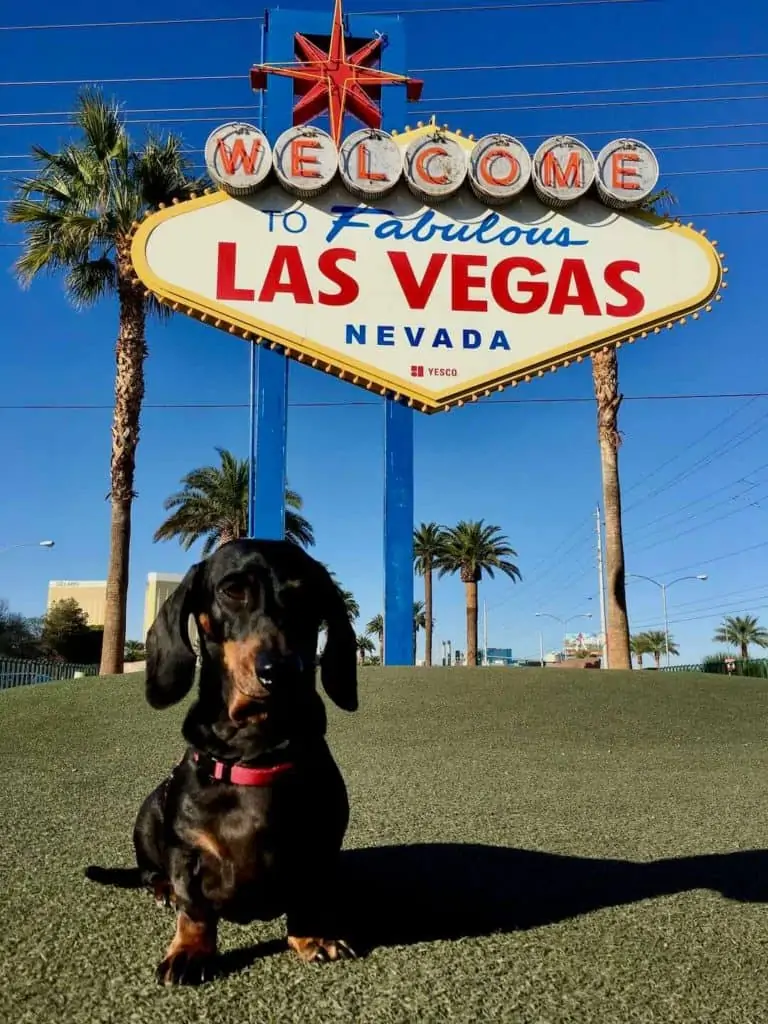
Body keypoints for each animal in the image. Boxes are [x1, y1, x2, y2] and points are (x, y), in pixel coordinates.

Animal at [85, 540, 362, 987]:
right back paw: (162, 889)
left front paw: (312, 935)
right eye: (232, 591)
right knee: (150, 873)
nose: (281, 671)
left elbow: (308, 894)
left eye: (306, 595)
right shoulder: (187, 850)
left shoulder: (319, 846)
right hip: (151, 810)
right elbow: (194, 909)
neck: (255, 752)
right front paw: (189, 951)